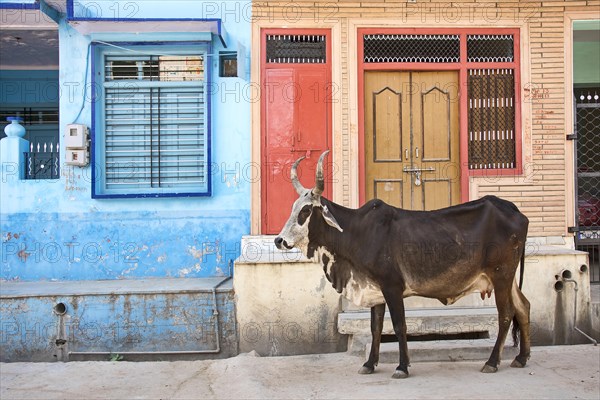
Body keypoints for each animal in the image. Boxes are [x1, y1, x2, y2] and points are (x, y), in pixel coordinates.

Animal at [274, 152, 532, 380]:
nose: (279, 240)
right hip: (508, 279)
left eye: (306, 210)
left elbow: (399, 326)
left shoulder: (392, 287)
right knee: (523, 307)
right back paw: (521, 358)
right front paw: (369, 364)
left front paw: (402, 367)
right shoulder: (374, 289)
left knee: (506, 314)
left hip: (501, 275)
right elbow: (375, 327)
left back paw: (492, 362)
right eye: (293, 208)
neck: (357, 233)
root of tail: (513, 209)